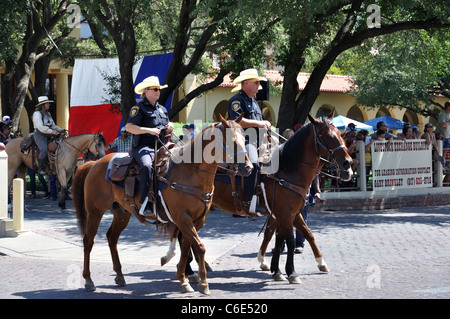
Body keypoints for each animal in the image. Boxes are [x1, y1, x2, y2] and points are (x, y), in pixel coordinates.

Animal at [72, 114, 251, 296]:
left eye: (245, 138)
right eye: (232, 141)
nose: (248, 168)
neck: (190, 172)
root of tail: (94, 164)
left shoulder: (195, 220)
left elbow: (186, 247)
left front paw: (184, 279)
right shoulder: (183, 218)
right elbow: (199, 247)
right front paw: (203, 283)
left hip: (122, 213)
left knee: (112, 238)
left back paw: (120, 276)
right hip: (95, 211)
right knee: (88, 241)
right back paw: (88, 280)